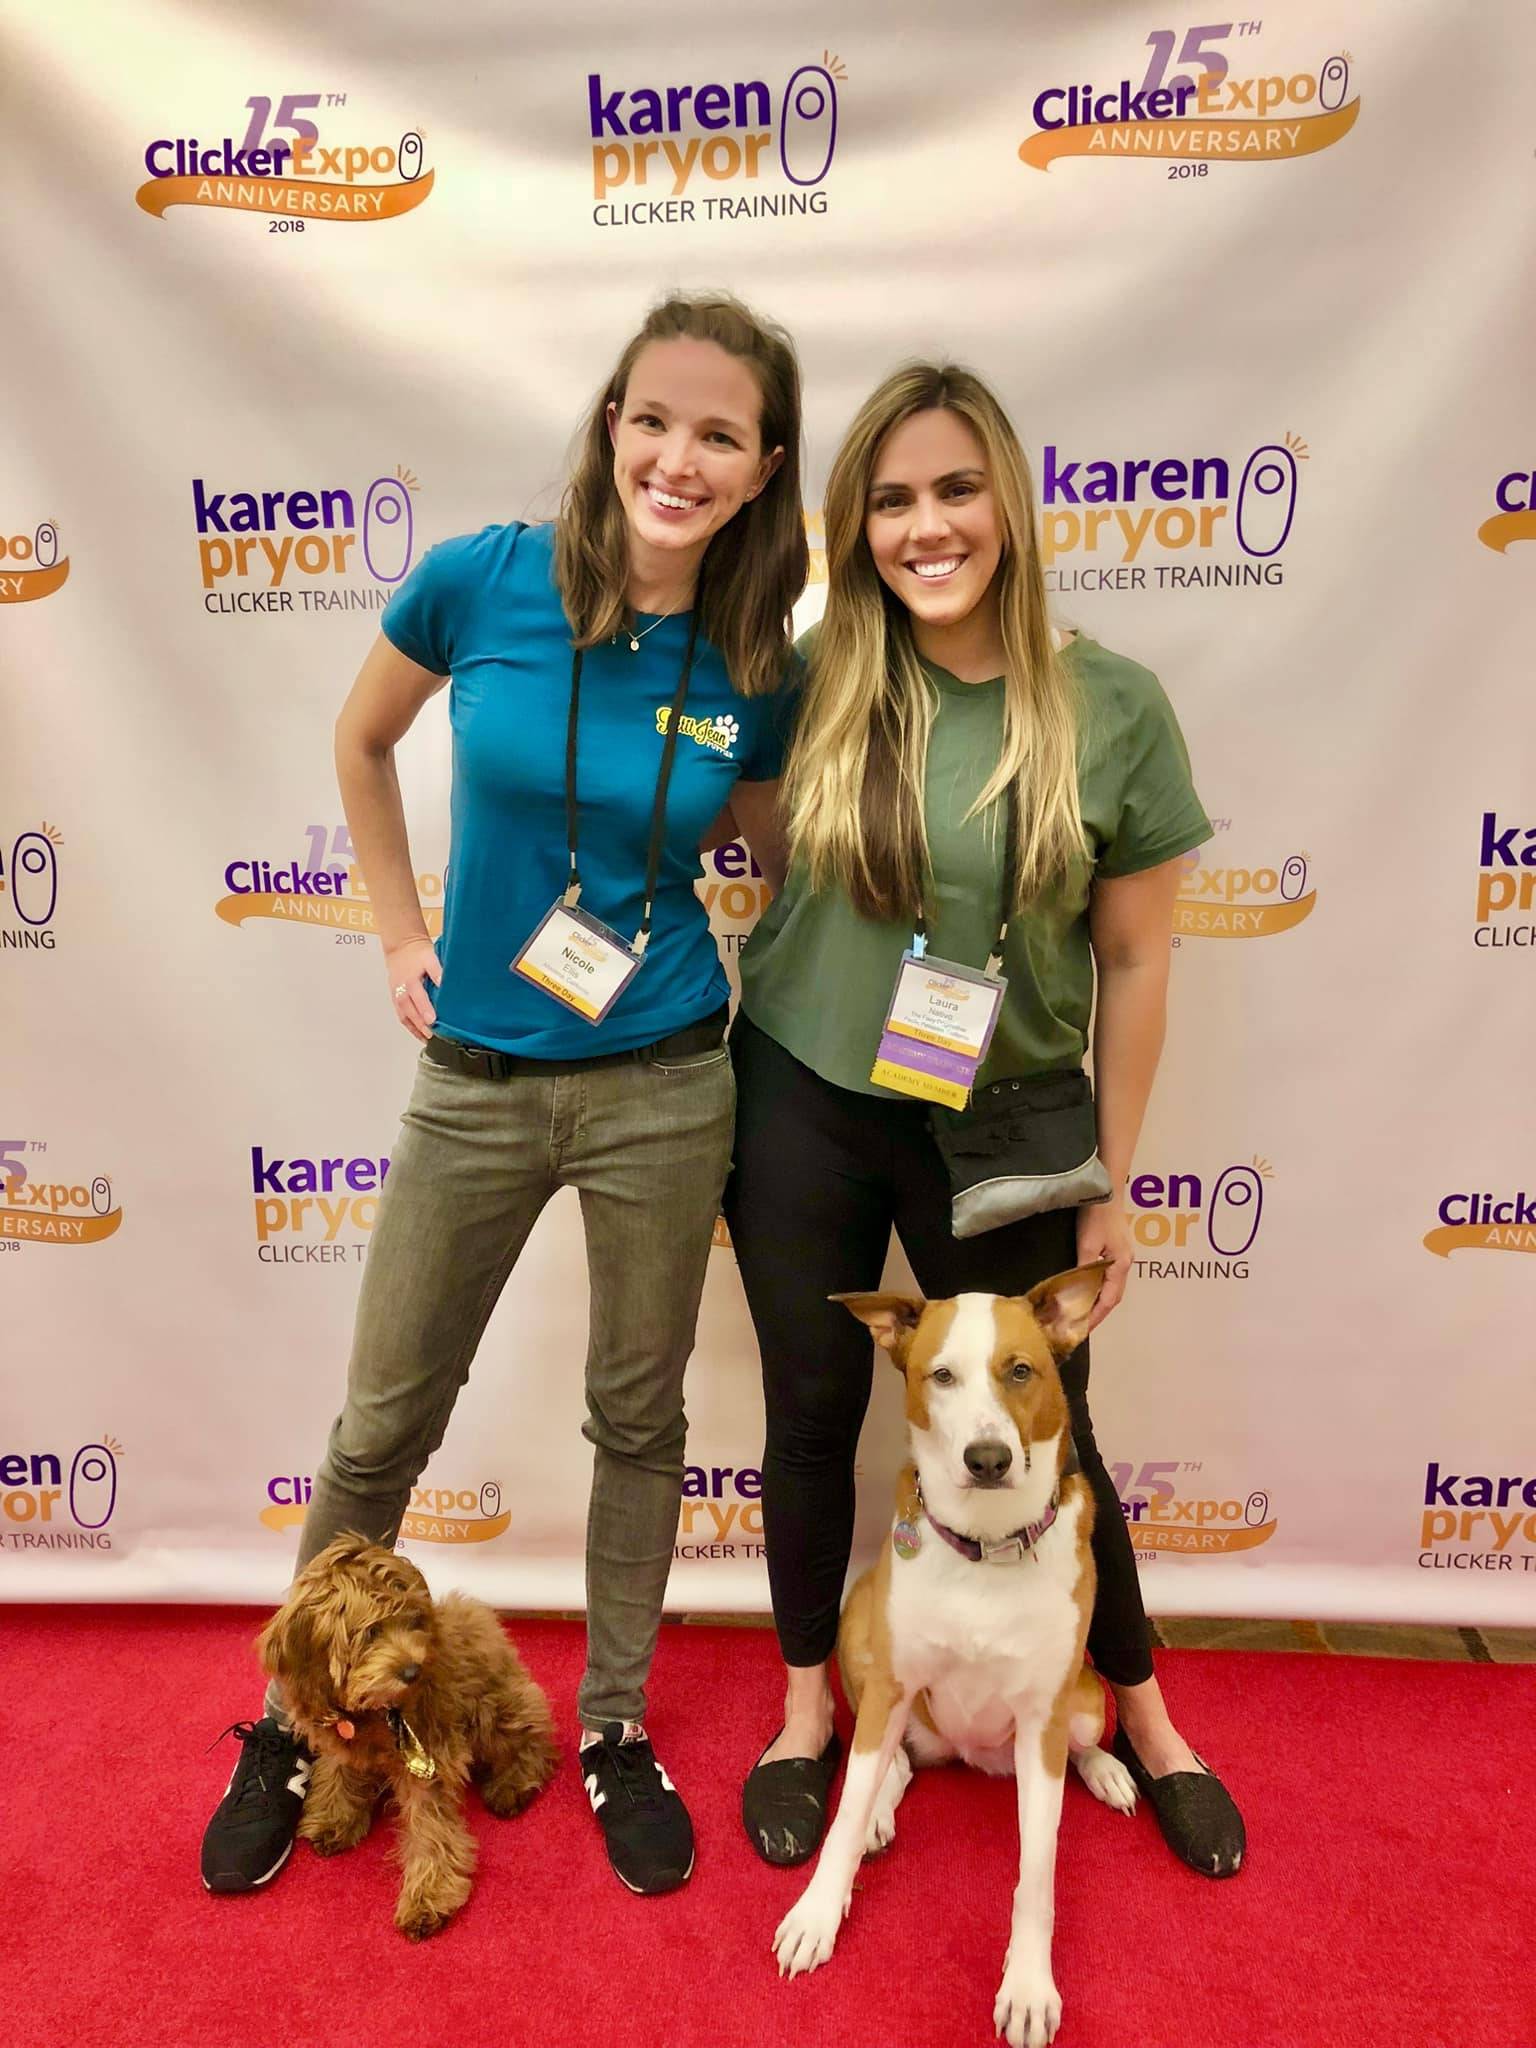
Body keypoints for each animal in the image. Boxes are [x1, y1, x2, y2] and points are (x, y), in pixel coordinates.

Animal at [259, 1540, 561, 1933]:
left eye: (413, 1621)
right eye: (370, 1632)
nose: (413, 1671)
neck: (372, 1711)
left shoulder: (427, 1757)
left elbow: (429, 1825)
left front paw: (428, 1896)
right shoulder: (339, 1735)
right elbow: (338, 1771)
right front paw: (334, 1816)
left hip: (492, 1711)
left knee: (534, 1737)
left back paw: (513, 1783)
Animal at [774, 1261, 1138, 2048]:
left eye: (1021, 1371)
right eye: (940, 1375)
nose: (989, 1459)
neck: (987, 1542)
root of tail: (973, 1756)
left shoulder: (1043, 1720)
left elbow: (1037, 1873)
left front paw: (1027, 1985)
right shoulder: (890, 1684)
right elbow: (843, 1816)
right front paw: (818, 1910)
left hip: (1084, 1700)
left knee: (1087, 1740)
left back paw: (1108, 1772)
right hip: (862, 1634)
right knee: (896, 1763)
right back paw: (881, 1809)